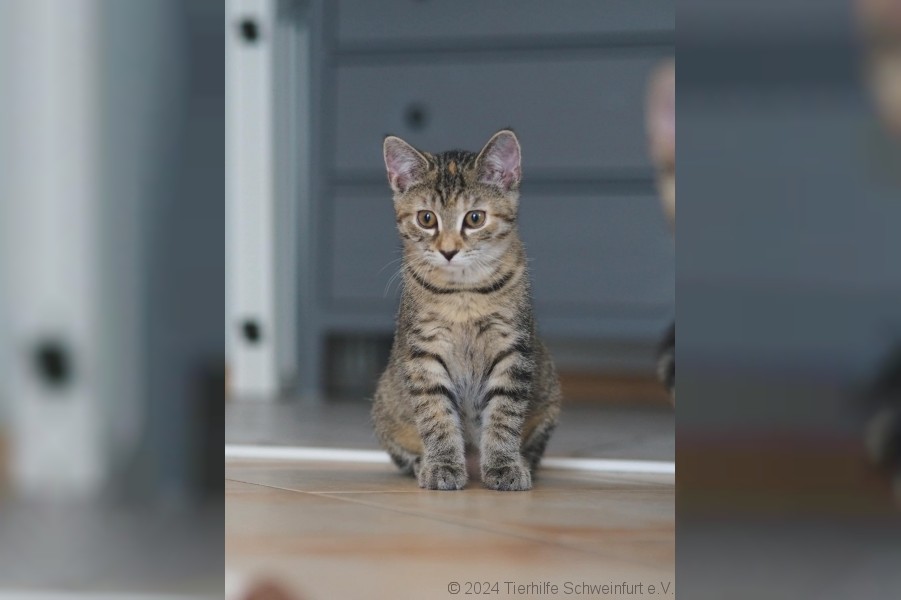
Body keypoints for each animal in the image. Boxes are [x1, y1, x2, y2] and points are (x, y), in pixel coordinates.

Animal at [370, 129, 560, 490]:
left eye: (475, 218)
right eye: (426, 218)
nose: (448, 251)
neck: (464, 295)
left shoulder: (512, 348)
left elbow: (504, 414)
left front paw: (503, 464)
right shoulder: (423, 353)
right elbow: (435, 414)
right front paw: (443, 465)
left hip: (550, 395)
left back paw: (520, 461)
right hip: (384, 408)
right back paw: (423, 463)